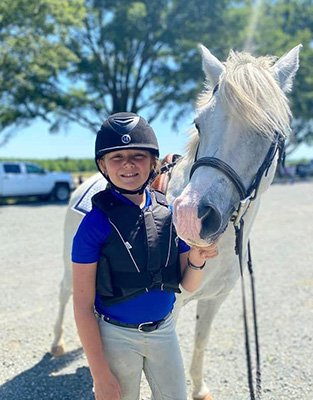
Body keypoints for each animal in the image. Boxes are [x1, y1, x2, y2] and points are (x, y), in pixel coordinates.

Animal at [51, 44, 300, 400]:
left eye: (272, 132)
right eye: (199, 124)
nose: (190, 217)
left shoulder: (212, 301)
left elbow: (200, 341)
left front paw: (200, 388)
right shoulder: (173, 306)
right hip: (71, 265)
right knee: (64, 294)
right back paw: (57, 343)